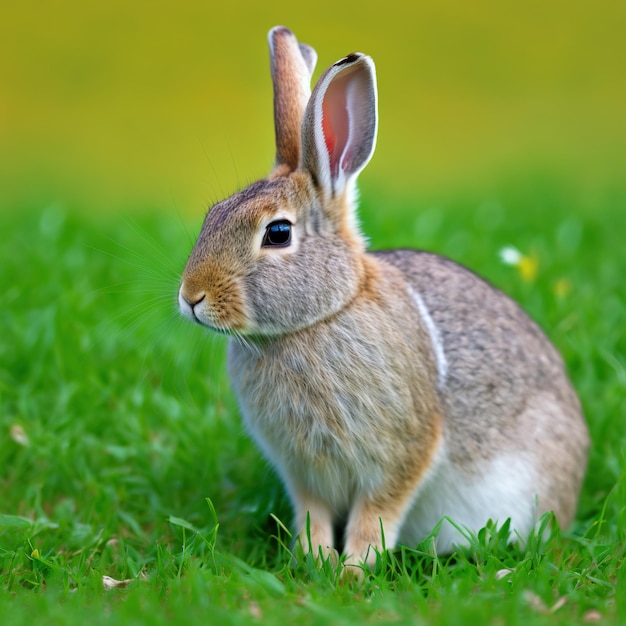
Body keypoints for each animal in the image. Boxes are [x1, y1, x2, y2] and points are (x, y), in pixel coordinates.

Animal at [178, 24, 588, 572]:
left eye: (278, 233)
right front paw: (314, 561)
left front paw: (354, 570)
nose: (191, 297)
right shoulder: (304, 472)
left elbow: (378, 510)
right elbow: (312, 512)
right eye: (212, 215)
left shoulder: (404, 449)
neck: (321, 317)